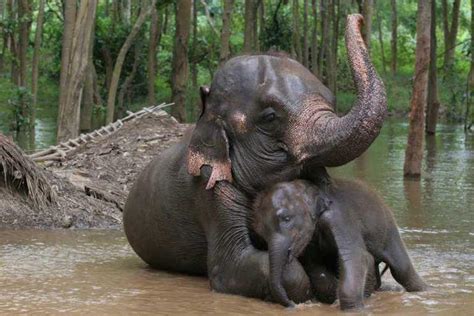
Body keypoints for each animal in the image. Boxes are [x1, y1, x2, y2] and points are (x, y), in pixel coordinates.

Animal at [254, 179, 428, 310]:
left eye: (287, 218)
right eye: (261, 234)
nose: (292, 305)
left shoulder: (340, 218)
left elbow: (357, 257)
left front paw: (352, 309)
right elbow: (317, 268)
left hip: (388, 228)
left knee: (402, 270)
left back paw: (426, 290)